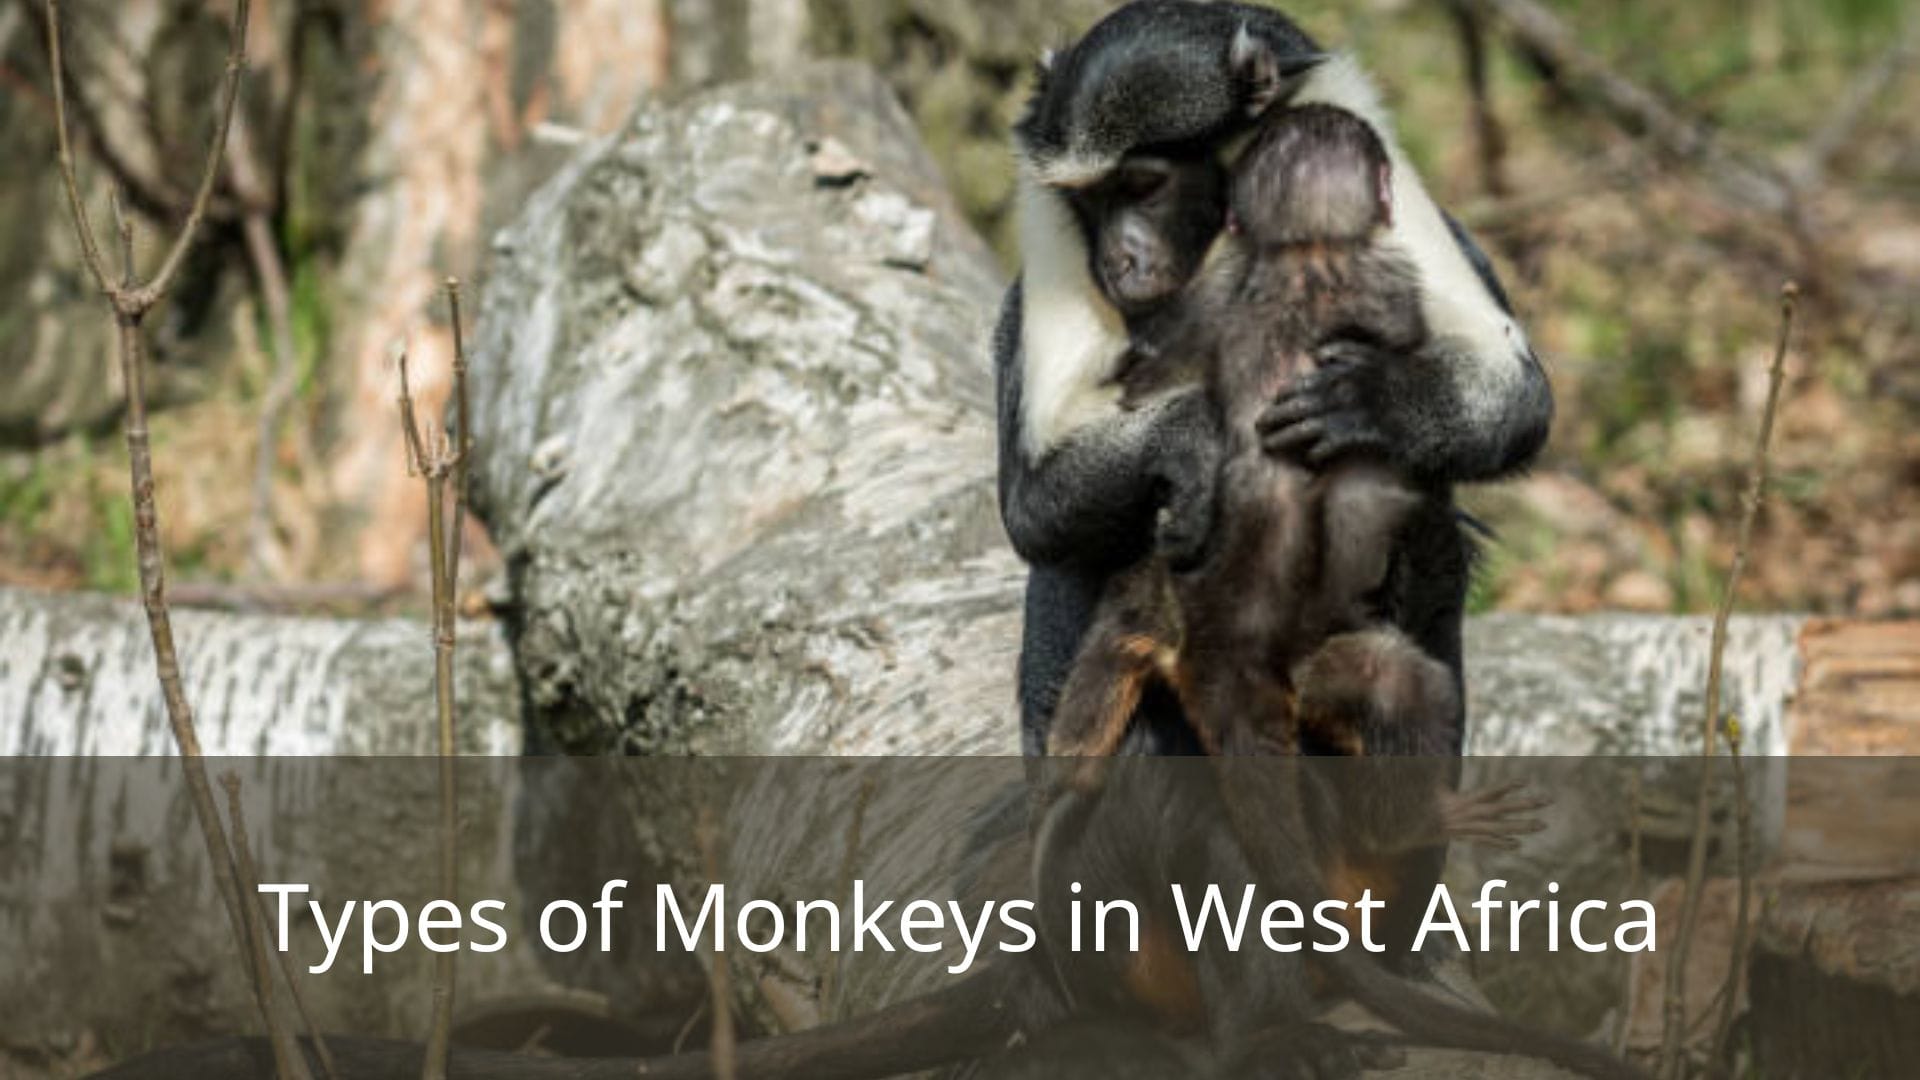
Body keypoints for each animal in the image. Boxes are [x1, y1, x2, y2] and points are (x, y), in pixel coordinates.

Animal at [997, 1, 1553, 762]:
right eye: (1089, 202)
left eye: (1142, 185)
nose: (1117, 258)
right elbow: (1033, 507)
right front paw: (1192, 436)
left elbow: (1519, 398)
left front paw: (1367, 401)